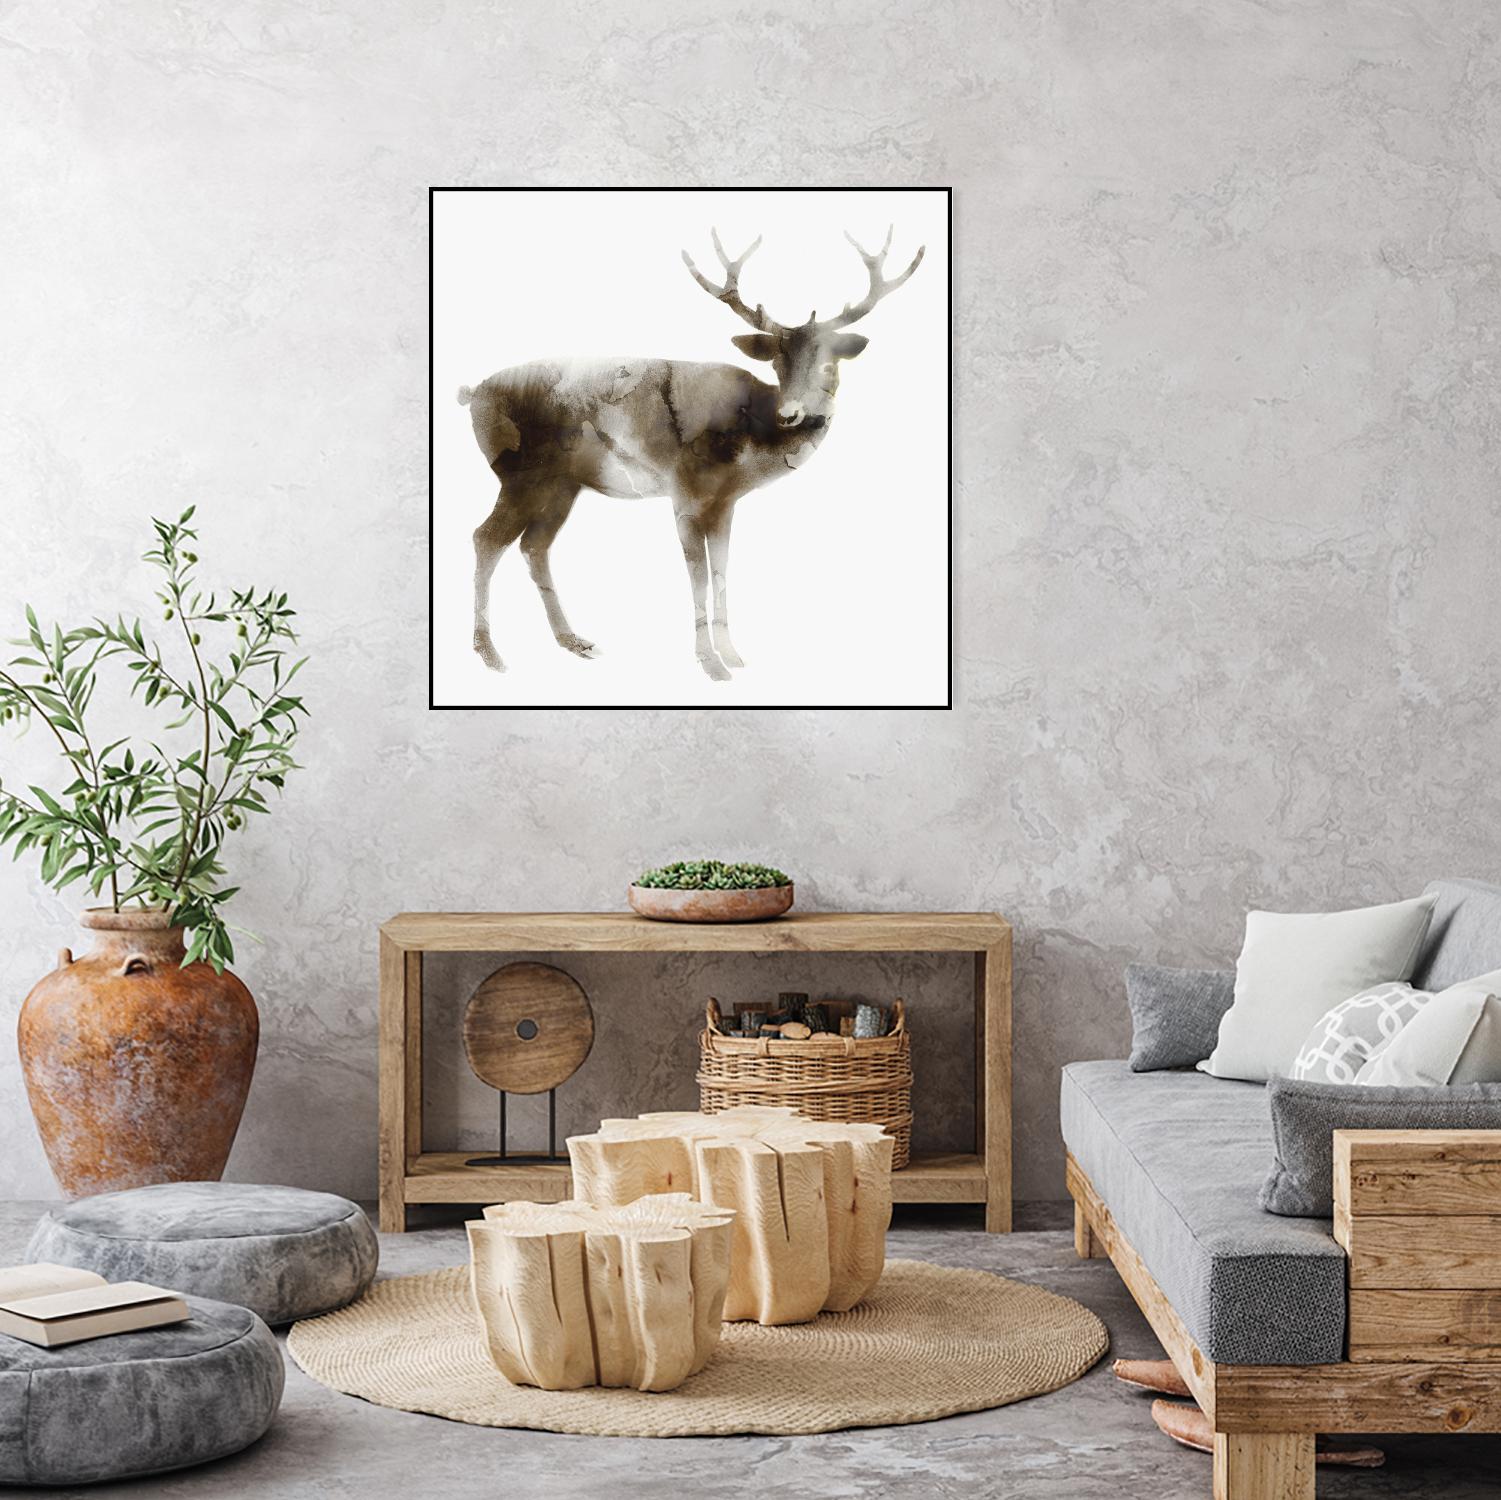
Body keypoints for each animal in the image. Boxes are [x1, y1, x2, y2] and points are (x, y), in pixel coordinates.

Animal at [458, 225, 925, 682]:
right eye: (777, 363)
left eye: (829, 364)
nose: (791, 414)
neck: (748, 447)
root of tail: (472, 394)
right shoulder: (684, 493)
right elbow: (697, 576)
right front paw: (710, 664)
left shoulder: (725, 503)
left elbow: (721, 571)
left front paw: (733, 655)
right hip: (520, 475)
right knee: (486, 538)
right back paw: (490, 653)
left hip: (561, 485)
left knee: (534, 546)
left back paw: (573, 641)